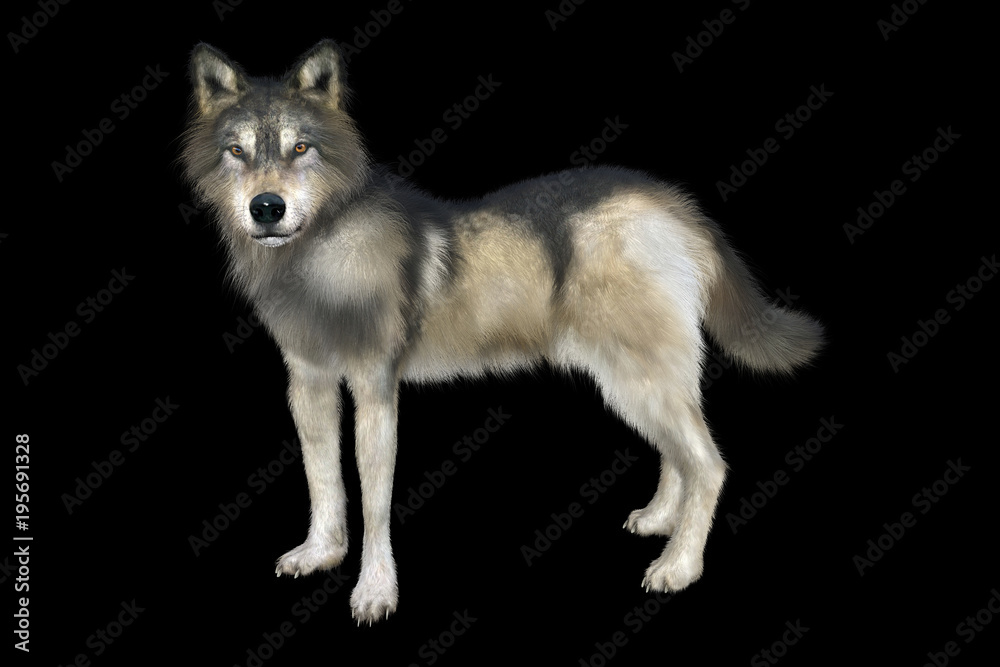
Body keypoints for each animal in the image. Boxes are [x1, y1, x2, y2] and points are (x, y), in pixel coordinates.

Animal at [182, 40, 824, 624]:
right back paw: (658, 520)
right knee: (679, 453)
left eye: (301, 148)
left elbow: (374, 501)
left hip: (638, 377)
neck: (321, 249)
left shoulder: (376, 389)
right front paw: (321, 553)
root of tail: (674, 201)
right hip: (627, 381)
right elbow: (322, 481)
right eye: (237, 151)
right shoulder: (308, 385)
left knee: (709, 464)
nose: (267, 208)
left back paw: (679, 566)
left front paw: (375, 592)